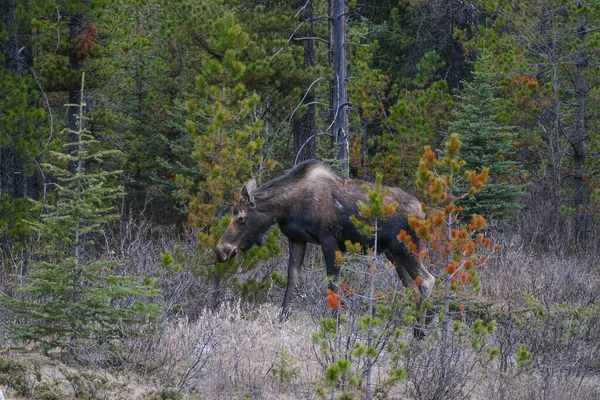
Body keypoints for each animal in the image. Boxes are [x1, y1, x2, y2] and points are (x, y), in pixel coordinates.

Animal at [213, 159, 434, 318]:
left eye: (240, 217)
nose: (221, 250)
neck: (286, 208)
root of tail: (423, 213)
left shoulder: (328, 238)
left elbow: (332, 284)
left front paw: (333, 323)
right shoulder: (297, 239)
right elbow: (291, 278)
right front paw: (282, 317)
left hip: (405, 247)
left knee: (428, 280)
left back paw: (421, 335)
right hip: (393, 254)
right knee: (413, 290)